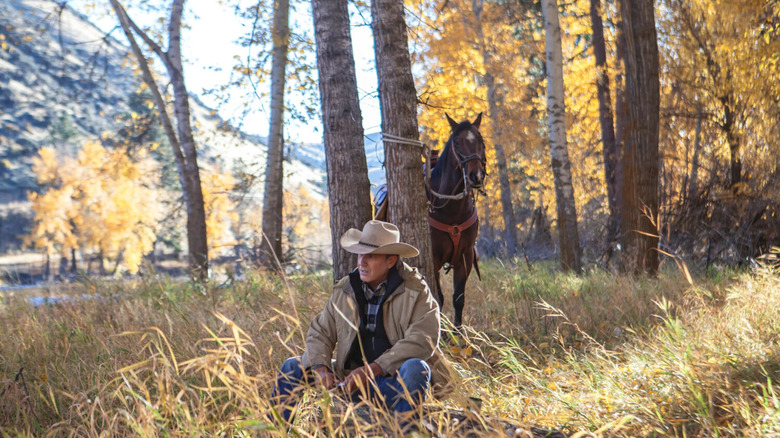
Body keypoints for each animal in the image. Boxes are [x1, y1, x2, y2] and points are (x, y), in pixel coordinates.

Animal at [426, 113, 488, 328]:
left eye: (481, 141)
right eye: (457, 142)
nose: (475, 176)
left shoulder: (465, 256)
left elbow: (458, 298)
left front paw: (458, 333)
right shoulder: (433, 258)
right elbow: (438, 299)